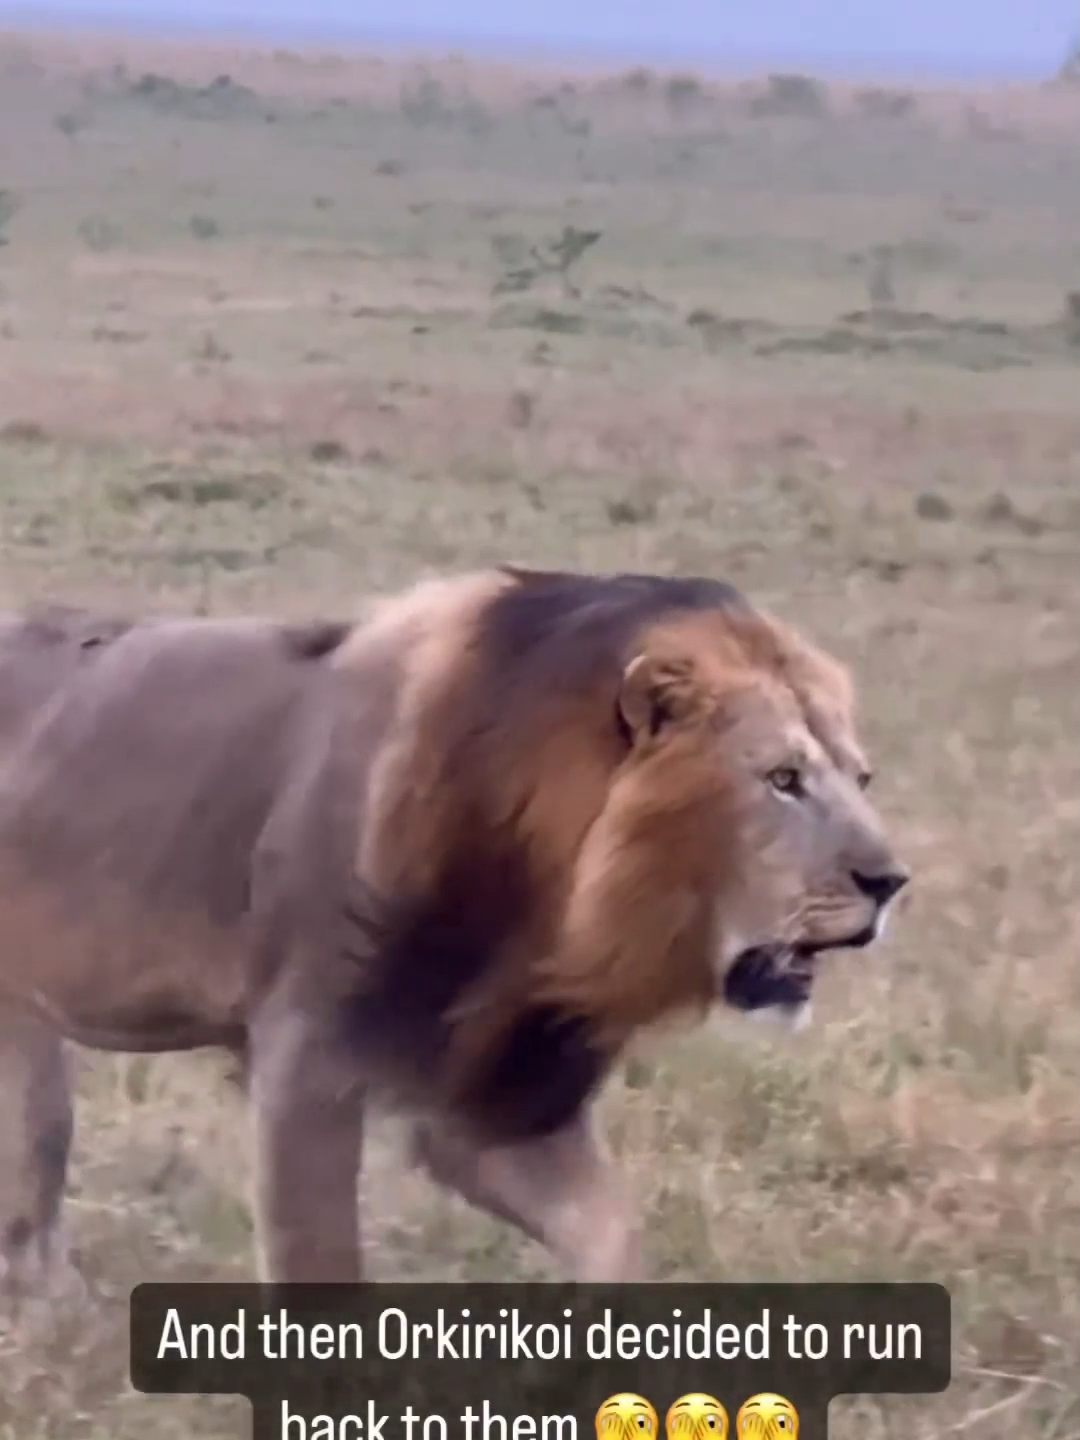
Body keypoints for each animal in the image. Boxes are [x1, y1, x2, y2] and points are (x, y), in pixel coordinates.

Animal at [0, 564, 915, 1296]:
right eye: (783, 779)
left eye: (864, 777)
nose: (891, 883)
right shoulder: (304, 1057)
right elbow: (318, 1264)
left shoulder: (484, 1089)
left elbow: (610, 1233)